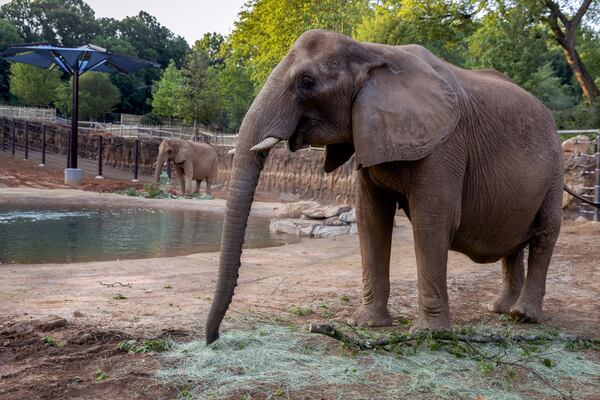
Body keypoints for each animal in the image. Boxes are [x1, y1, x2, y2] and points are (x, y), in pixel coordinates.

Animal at [205, 30, 564, 344]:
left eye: (307, 83)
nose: (214, 339)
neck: (371, 52)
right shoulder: (369, 133)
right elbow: (371, 218)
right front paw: (366, 324)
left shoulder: (445, 144)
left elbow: (432, 221)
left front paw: (428, 334)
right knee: (515, 243)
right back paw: (500, 309)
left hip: (555, 170)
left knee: (545, 235)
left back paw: (523, 316)